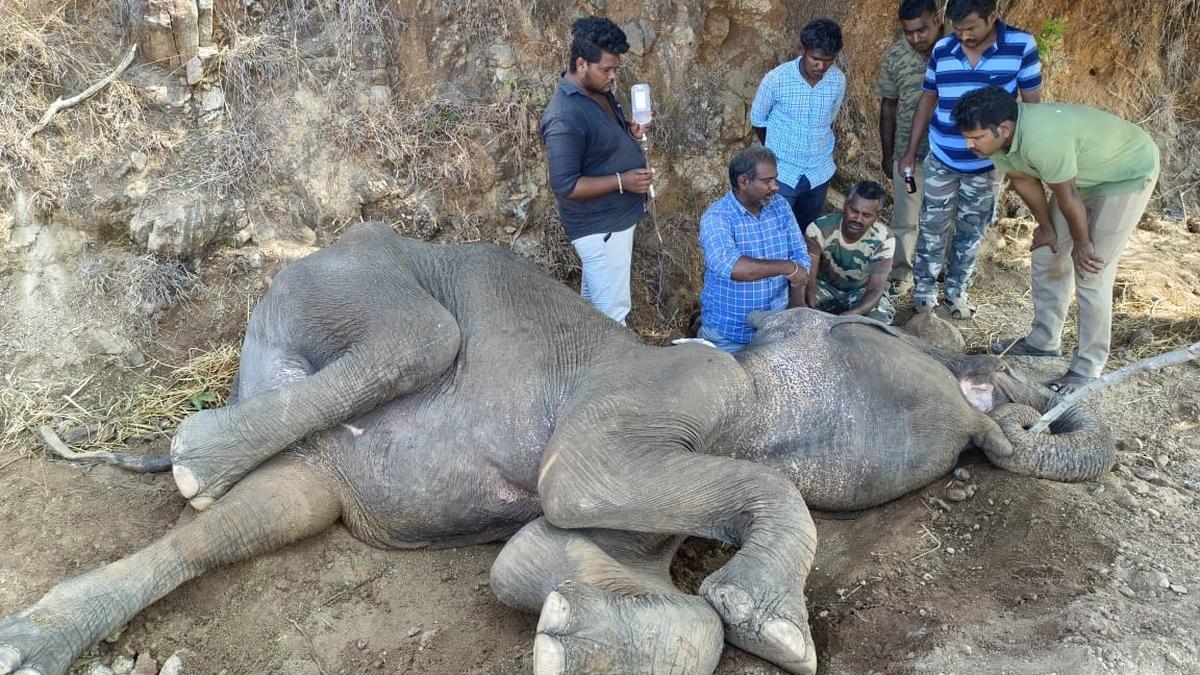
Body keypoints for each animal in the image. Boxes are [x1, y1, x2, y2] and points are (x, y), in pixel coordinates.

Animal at [0, 222, 1114, 675]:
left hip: (313, 467)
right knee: (418, 337)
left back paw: (38, 637)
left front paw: (569, 629)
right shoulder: (670, 388)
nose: (1002, 385)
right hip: (345, 280)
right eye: (881, 328)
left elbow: (532, 558)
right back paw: (195, 452)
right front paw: (776, 629)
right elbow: (581, 480)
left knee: (245, 524)